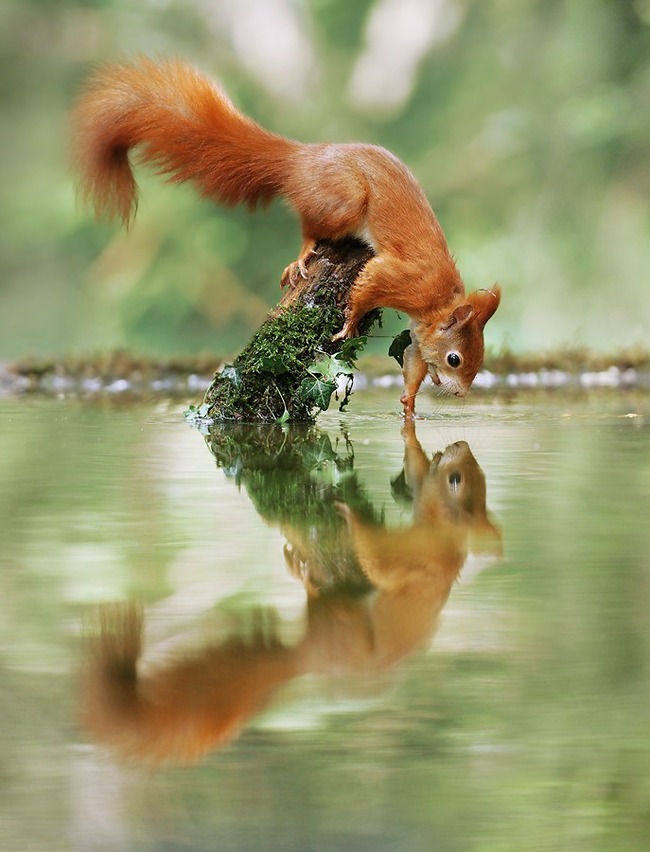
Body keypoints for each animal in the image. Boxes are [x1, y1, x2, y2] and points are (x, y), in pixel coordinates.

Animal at [71, 55, 498, 414]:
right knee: (312, 227)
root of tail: (299, 159)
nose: (462, 394)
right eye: (455, 359)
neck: (439, 300)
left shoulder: (417, 334)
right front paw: (349, 323)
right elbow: (368, 287)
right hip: (343, 201)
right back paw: (302, 255)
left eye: (479, 358)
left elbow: (413, 364)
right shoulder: (401, 278)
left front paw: (409, 405)